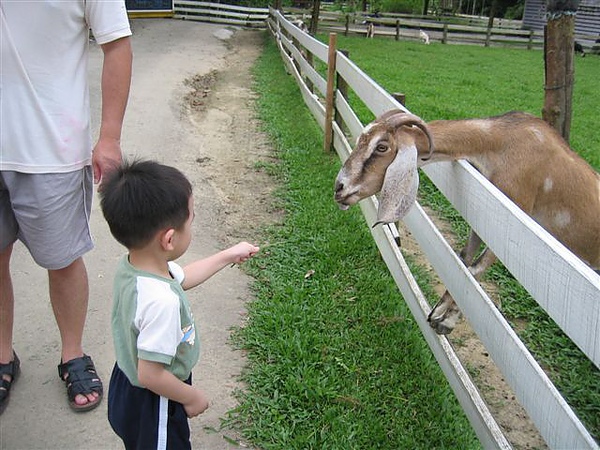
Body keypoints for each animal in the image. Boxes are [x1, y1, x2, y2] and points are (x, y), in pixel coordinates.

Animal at [332, 110, 600, 334]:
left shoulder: (512, 223)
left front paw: (444, 318)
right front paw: (440, 313)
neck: (502, 141)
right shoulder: (485, 219)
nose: (339, 188)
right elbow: (465, 258)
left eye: (382, 146)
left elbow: (476, 268)